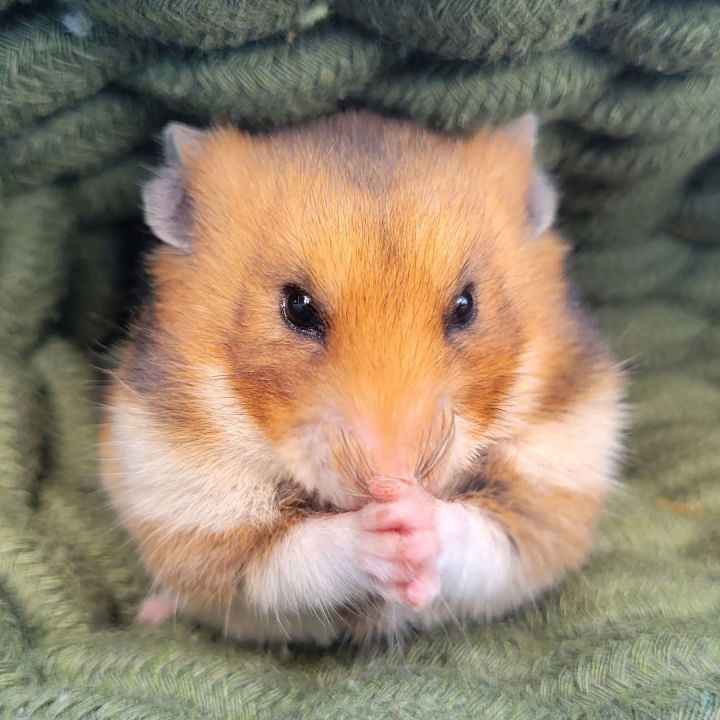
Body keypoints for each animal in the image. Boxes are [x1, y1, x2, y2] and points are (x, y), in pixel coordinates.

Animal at [101, 114, 624, 648]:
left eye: (466, 306)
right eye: (298, 307)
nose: (391, 479)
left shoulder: (554, 486)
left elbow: (486, 538)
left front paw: (412, 517)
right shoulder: (199, 513)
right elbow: (296, 555)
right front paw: (383, 526)